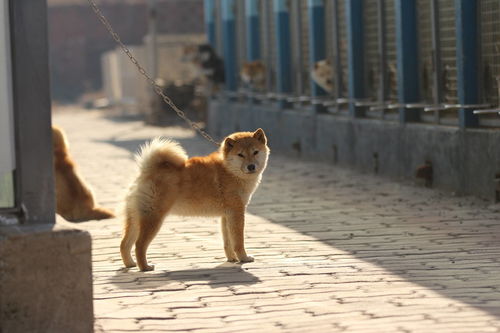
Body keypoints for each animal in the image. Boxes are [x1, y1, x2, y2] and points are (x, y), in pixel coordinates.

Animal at [120, 127, 270, 270]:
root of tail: (146, 171)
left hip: (136, 218)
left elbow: (228, 242)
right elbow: (238, 241)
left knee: (124, 244)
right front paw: (244, 258)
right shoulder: (237, 212)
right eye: (240, 155)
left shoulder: (226, 215)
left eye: (255, 152)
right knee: (139, 245)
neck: (229, 170)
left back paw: (130, 264)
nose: (251, 166)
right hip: (153, 218)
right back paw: (145, 267)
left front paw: (232, 258)